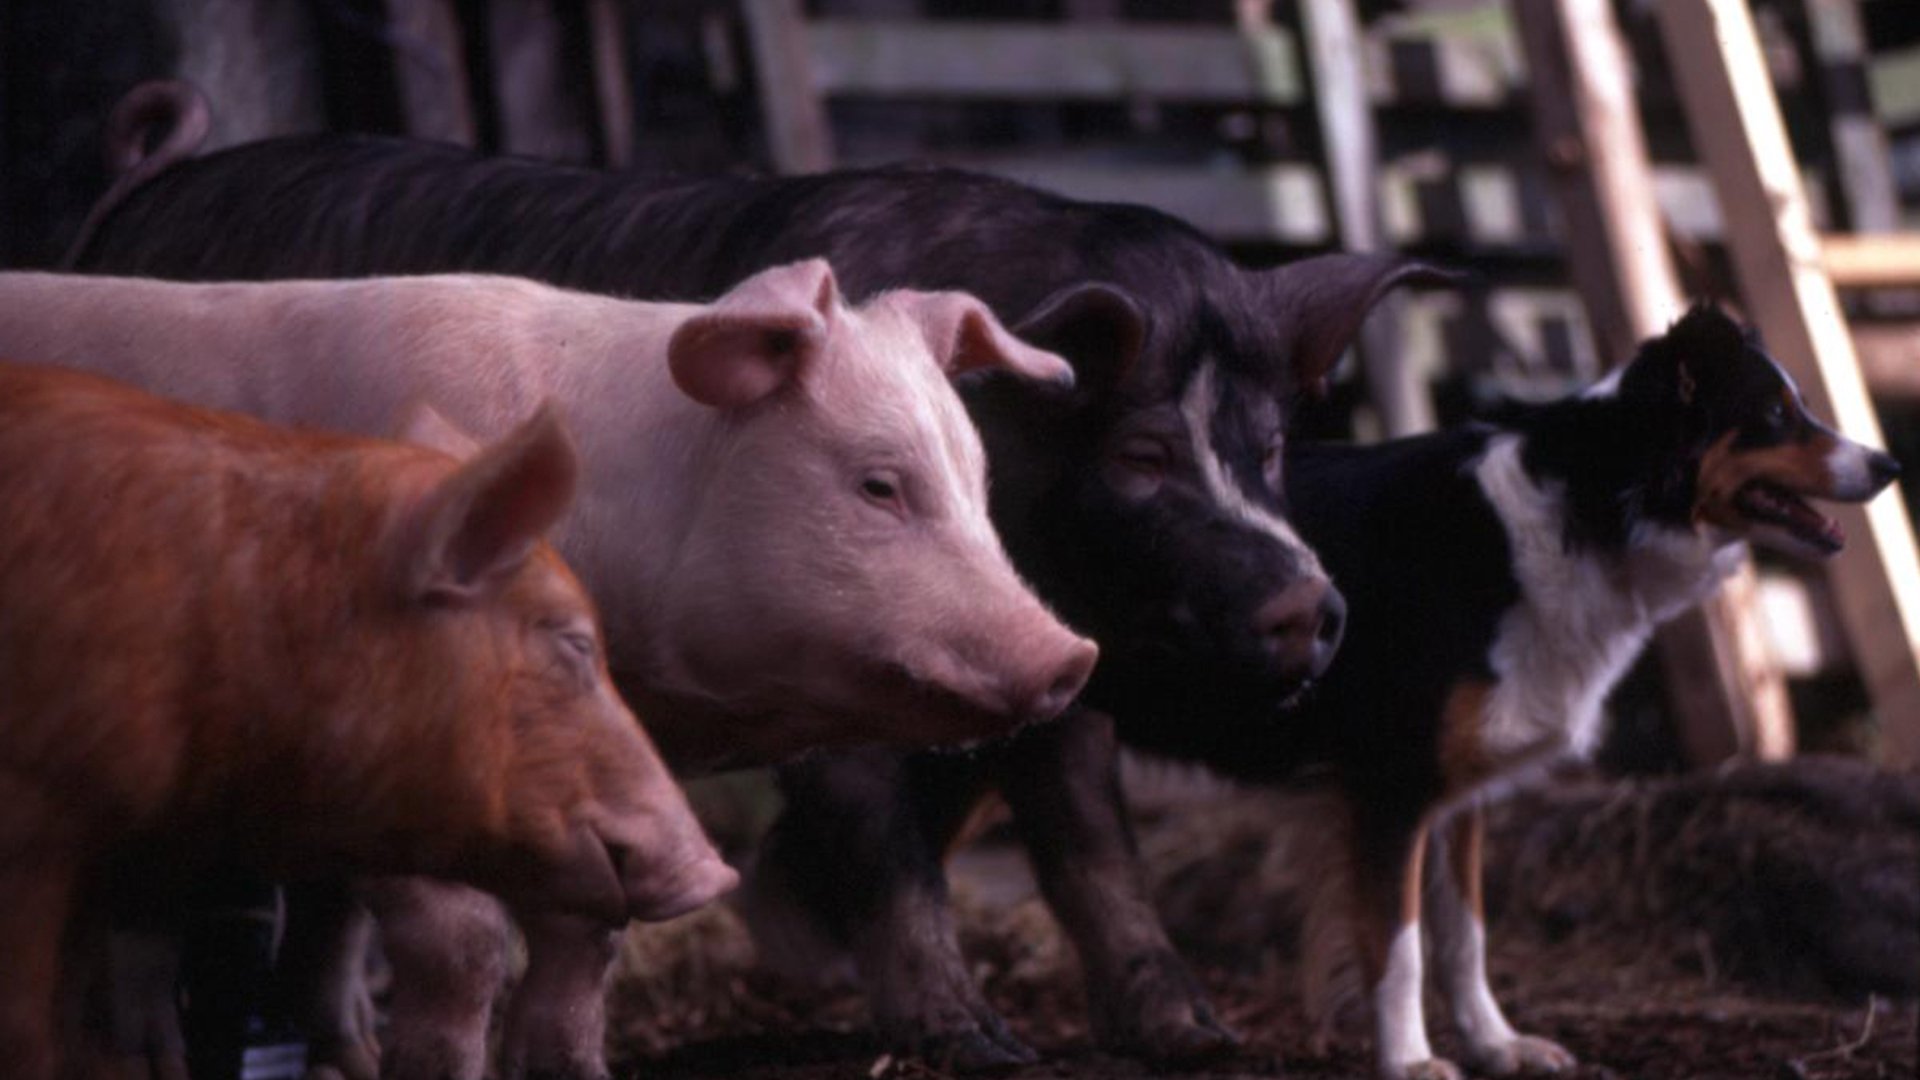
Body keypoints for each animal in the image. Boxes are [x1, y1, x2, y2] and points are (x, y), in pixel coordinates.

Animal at [1228, 305, 1904, 1076]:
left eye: (1804, 408)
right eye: (1773, 416)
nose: (1890, 466)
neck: (1592, 505)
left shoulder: (1459, 787)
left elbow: (1464, 932)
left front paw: (1495, 1044)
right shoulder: (1388, 785)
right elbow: (1399, 947)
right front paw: (1409, 1061)